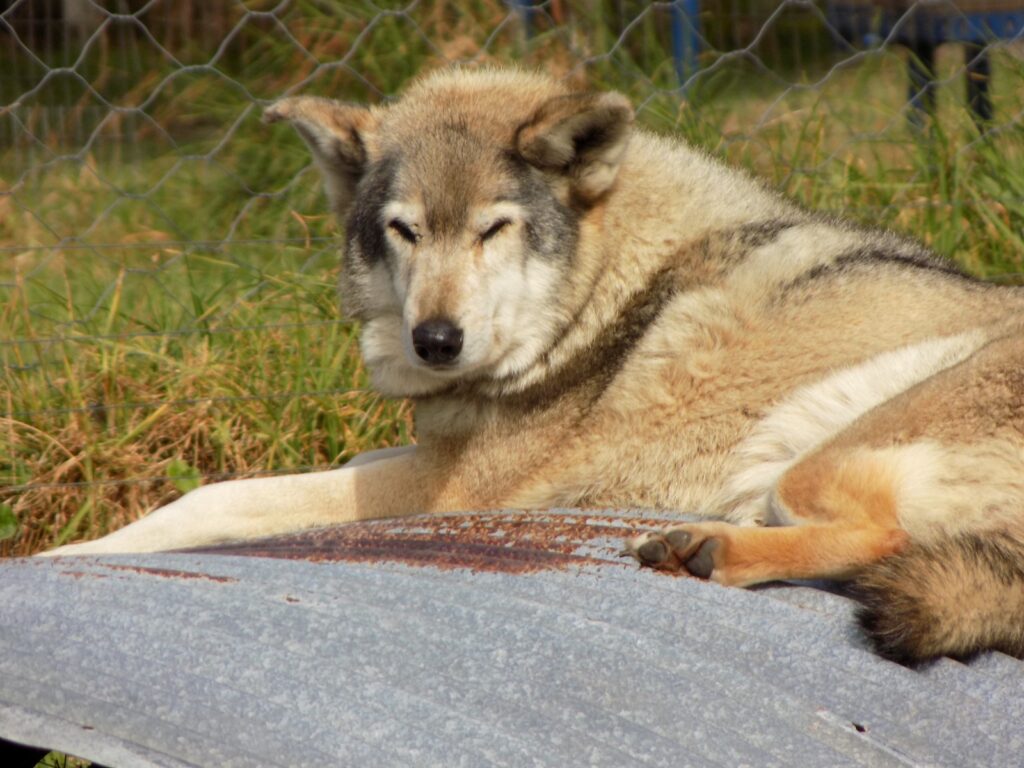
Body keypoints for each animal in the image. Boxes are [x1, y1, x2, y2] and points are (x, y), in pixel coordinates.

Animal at [48, 67, 1024, 664]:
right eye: (404, 230)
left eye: (494, 228)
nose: (435, 341)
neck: (603, 298)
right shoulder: (427, 450)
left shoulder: (447, 488)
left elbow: (216, 498)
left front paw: (75, 551)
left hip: (819, 453)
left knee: (881, 536)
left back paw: (705, 551)